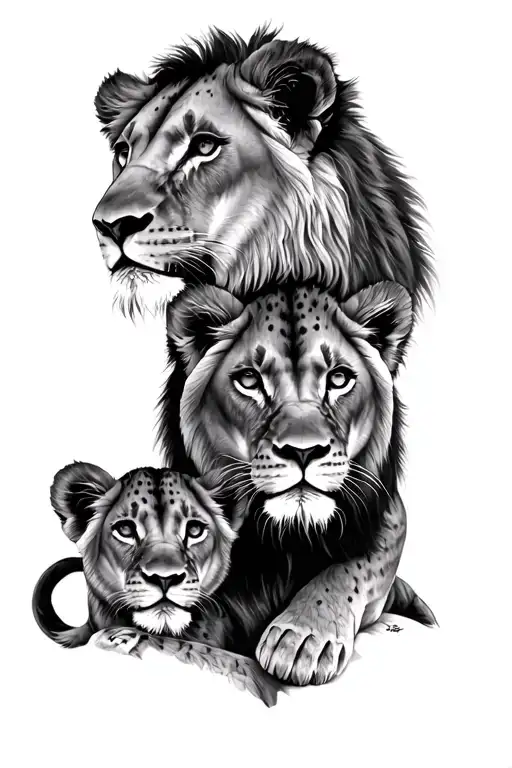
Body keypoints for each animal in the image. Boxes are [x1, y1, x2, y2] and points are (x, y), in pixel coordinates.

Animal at [162, 280, 437, 685]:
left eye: (338, 379)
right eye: (249, 380)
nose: (304, 450)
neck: (287, 540)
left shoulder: (389, 515)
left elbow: (350, 568)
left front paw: (302, 639)